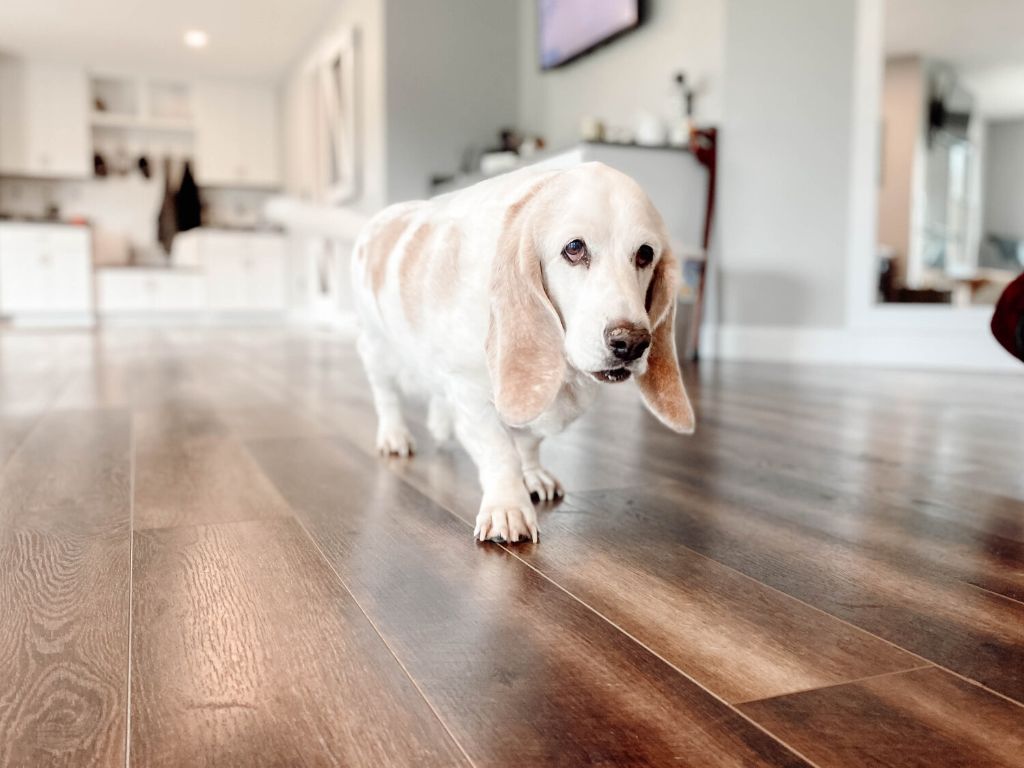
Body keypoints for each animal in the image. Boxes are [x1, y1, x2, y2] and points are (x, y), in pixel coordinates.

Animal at [352, 162, 696, 544]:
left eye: (645, 254)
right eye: (574, 248)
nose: (632, 343)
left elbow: (528, 444)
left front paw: (532, 476)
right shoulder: (471, 393)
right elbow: (500, 452)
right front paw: (507, 508)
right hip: (377, 350)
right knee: (386, 397)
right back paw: (394, 436)